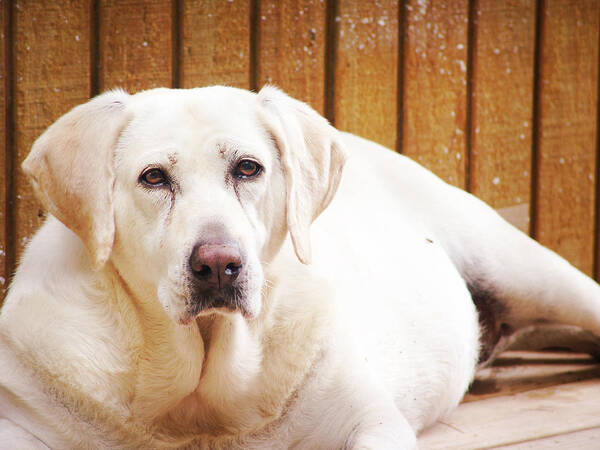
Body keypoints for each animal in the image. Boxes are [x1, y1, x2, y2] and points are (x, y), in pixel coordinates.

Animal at [1, 86, 600, 448]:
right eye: (153, 178)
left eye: (248, 168)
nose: (218, 264)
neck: (198, 395)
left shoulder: (370, 421)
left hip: (525, 267)